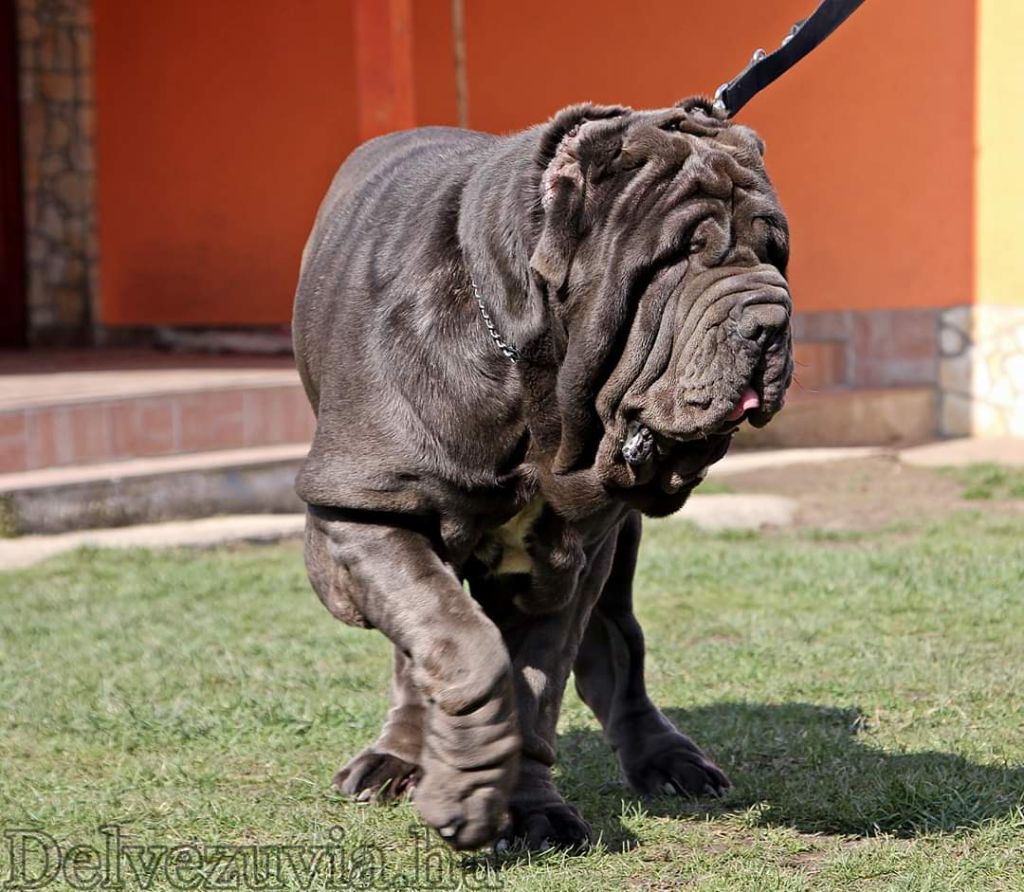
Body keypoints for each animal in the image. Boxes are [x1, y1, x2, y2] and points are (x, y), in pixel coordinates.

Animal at [292, 95, 794, 852]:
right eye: (679, 256)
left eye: (774, 252)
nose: (770, 320)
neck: (534, 374)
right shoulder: (365, 511)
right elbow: (462, 645)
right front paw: (467, 786)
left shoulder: (568, 555)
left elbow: (538, 682)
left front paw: (531, 809)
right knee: (415, 653)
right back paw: (397, 758)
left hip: (616, 552)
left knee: (619, 643)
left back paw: (670, 760)